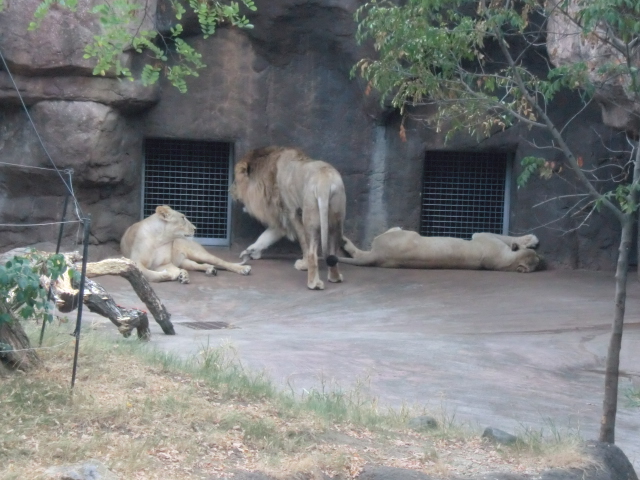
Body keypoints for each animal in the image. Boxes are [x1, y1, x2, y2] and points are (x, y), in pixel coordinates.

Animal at [230, 145, 348, 288]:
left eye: (236, 181)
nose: (229, 191)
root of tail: (324, 183)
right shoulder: (283, 217)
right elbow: (266, 236)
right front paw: (251, 251)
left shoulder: (291, 211)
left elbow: (301, 241)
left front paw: (304, 265)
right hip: (337, 216)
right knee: (332, 251)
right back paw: (335, 278)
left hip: (310, 216)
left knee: (312, 252)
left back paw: (312, 282)